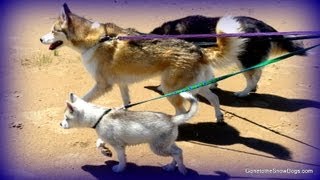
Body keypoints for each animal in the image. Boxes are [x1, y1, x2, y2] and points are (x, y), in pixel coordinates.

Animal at [39, 3, 245, 122]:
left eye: (53, 30)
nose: (40, 39)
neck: (96, 39)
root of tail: (199, 50)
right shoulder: (121, 83)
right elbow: (126, 102)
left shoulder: (102, 85)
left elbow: (83, 98)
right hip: (195, 86)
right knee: (214, 98)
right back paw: (219, 117)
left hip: (171, 89)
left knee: (181, 111)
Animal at [151, 15, 306, 97]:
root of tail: (264, 27)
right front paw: (212, 85)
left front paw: (161, 87)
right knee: (257, 73)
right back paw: (251, 89)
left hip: (244, 58)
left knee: (252, 77)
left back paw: (244, 93)